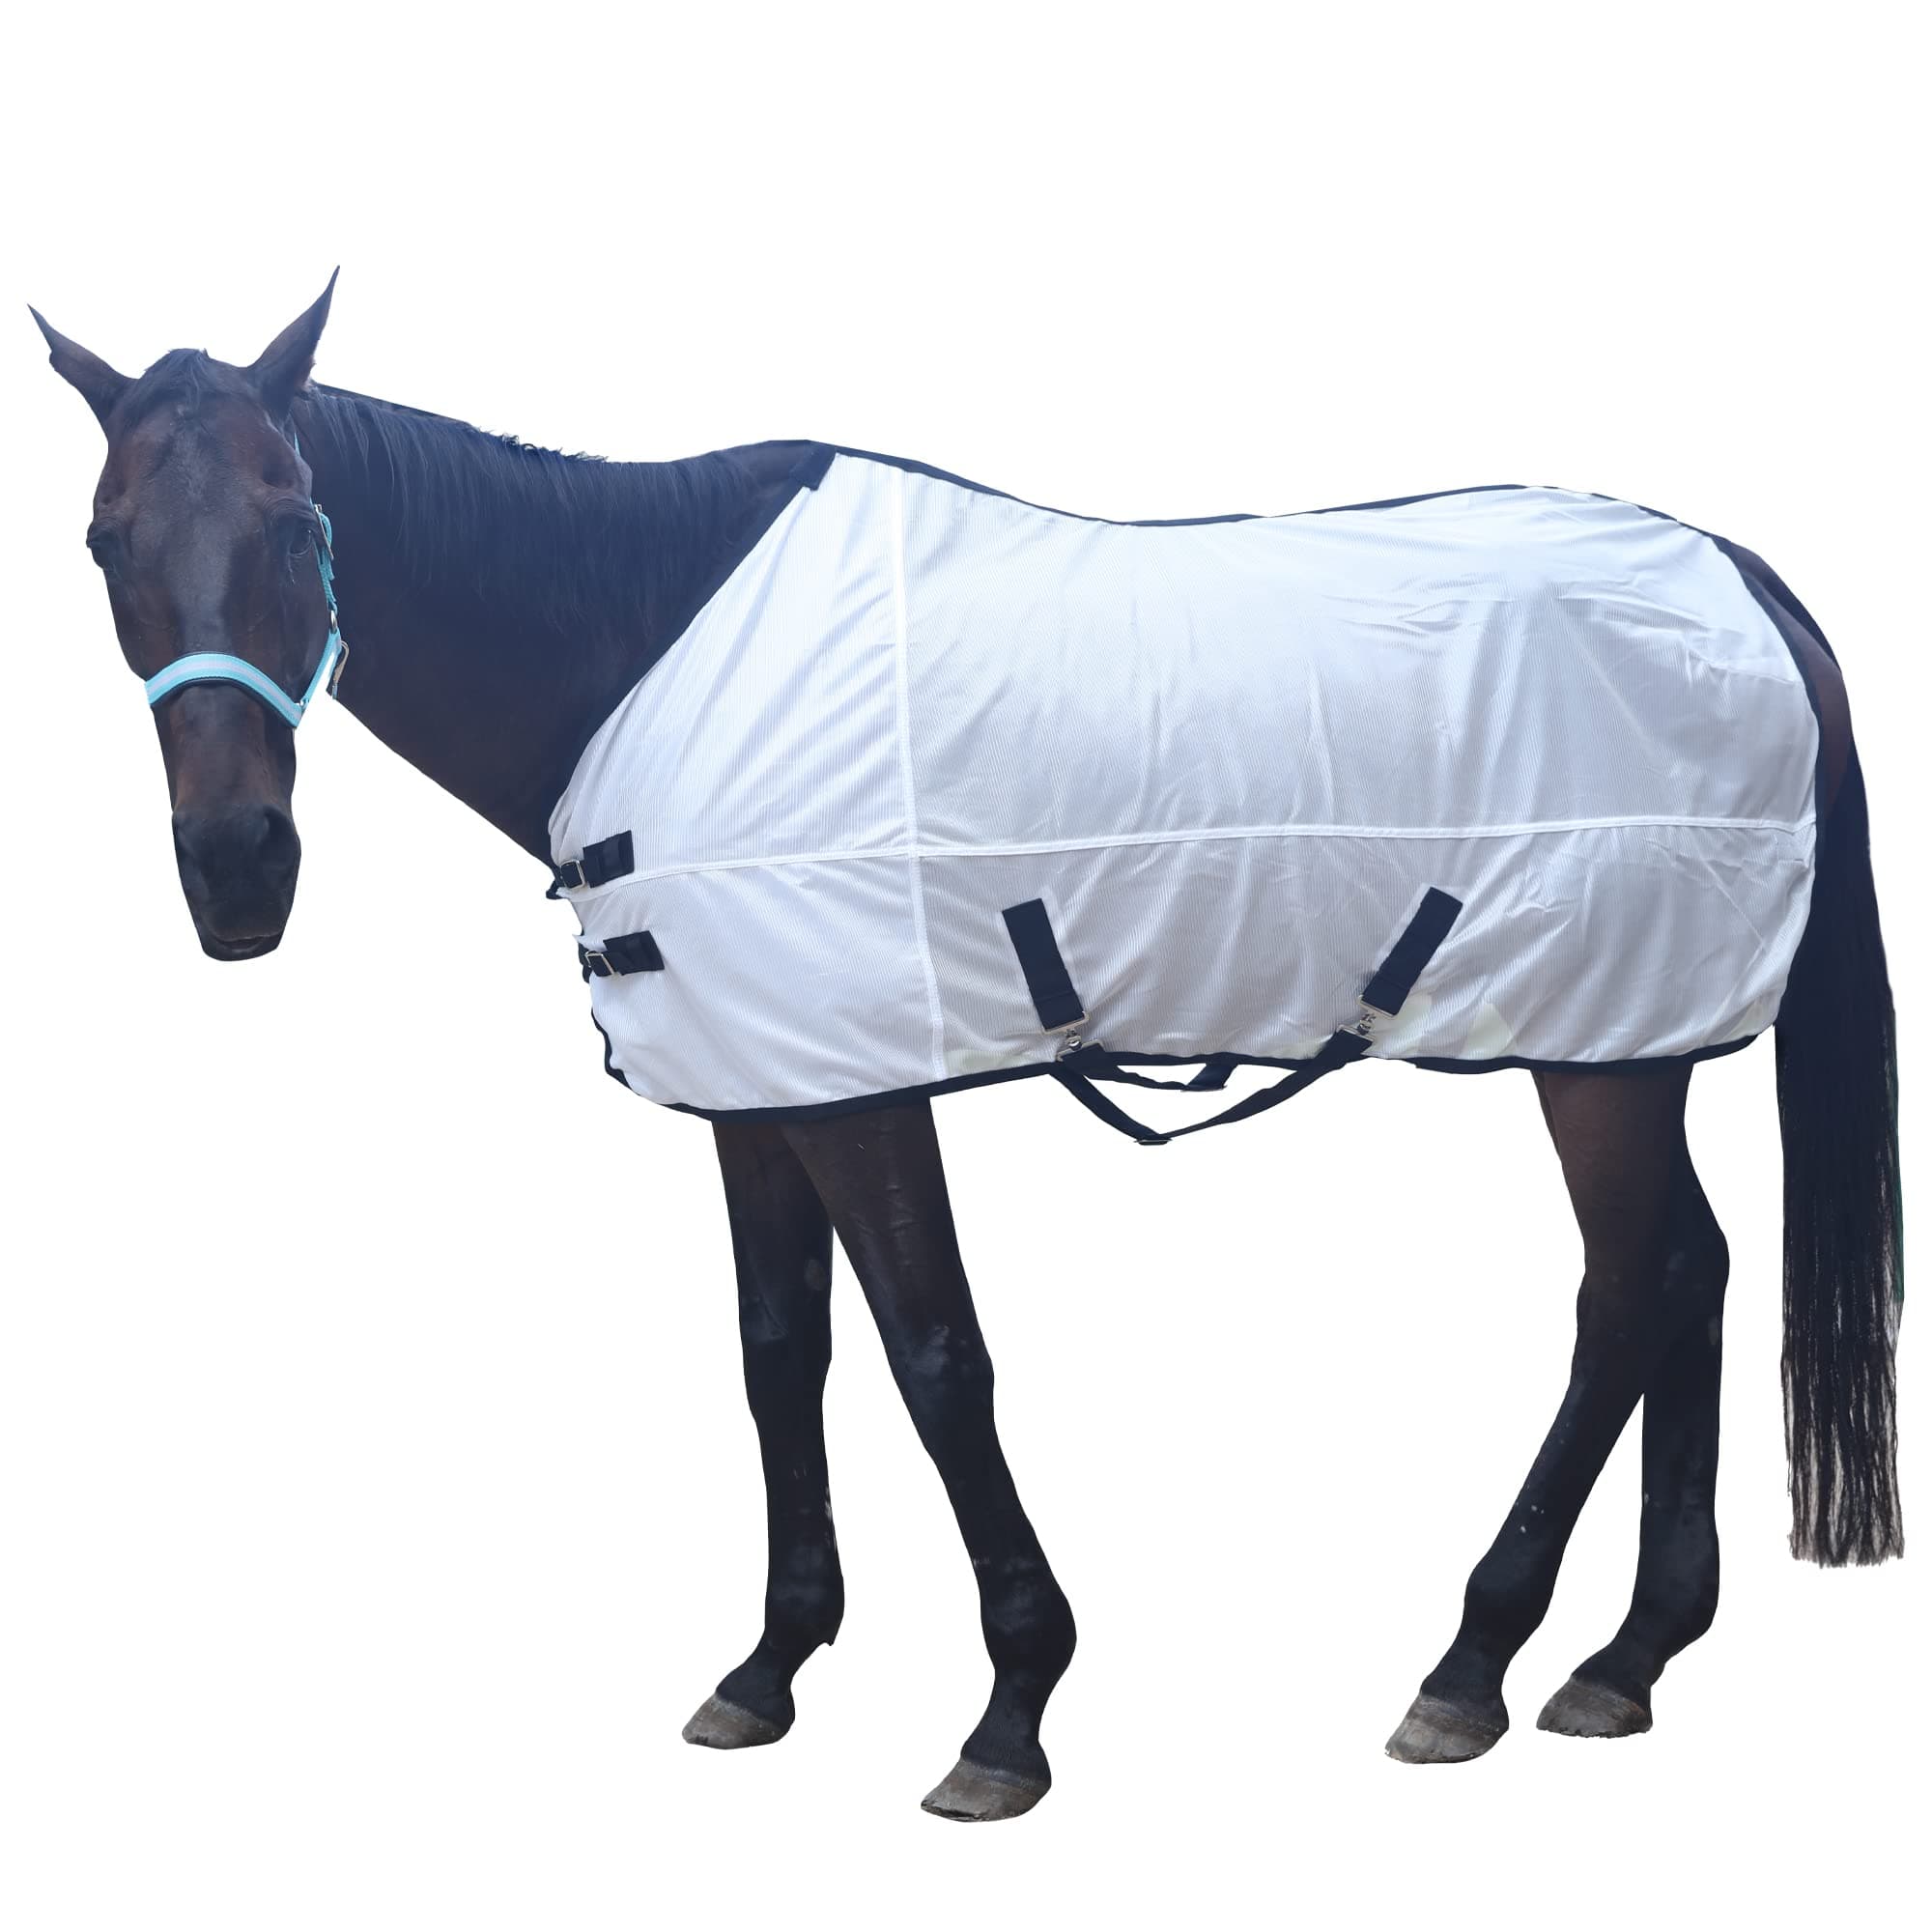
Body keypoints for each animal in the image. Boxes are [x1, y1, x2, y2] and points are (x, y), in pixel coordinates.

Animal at [33, 277, 1903, 1822]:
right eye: (106, 542)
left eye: (293, 521)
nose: (238, 877)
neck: (639, 646)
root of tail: (1741, 581)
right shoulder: (759, 1081)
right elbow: (779, 1352)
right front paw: (769, 1666)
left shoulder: (863, 1087)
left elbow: (936, 1359)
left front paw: (1011, 1709)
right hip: (1634, 1037)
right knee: (1692, 1273)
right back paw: (1624, 1660)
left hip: (1600, 1050)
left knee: (1631, 1291)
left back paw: (1473, 1665)